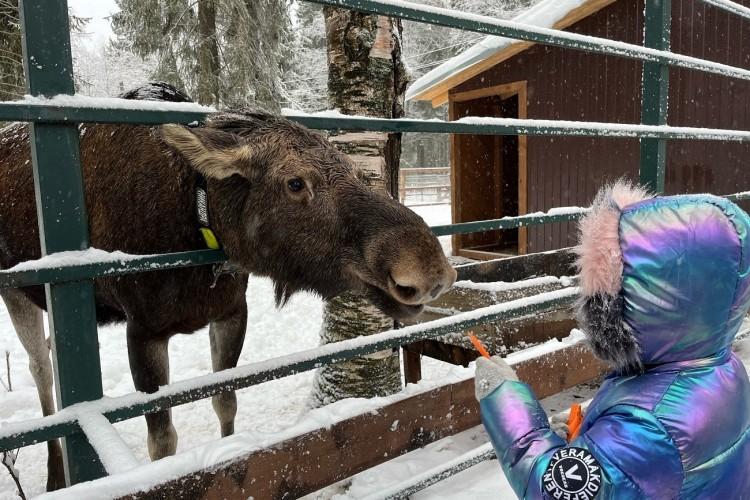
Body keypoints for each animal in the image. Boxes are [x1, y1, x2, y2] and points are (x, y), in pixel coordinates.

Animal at [0, 84, 458, 490]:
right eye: (295, 182)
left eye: (349, 168)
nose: (429, 269)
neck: (195, 218)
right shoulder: (143, 331)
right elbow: (162, 443)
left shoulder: (231, 313)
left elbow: (226, 402)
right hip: (14, 290)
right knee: (40, 368)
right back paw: (55, 475)